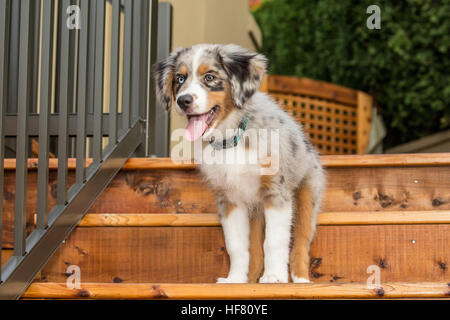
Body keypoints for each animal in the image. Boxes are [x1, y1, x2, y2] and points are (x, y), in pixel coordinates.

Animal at [154, 43, 324, 282]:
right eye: (179, 78)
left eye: (209, 77)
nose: (183, 101)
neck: (230, 138)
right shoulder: (229, 199)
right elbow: (237, 246)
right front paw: (235, 279)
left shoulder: (276, 192)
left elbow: (274, 241)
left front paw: (274, 277)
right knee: (255, 251)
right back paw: (250, 279)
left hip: (307, 193)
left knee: (301, 240)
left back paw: (300, 279)